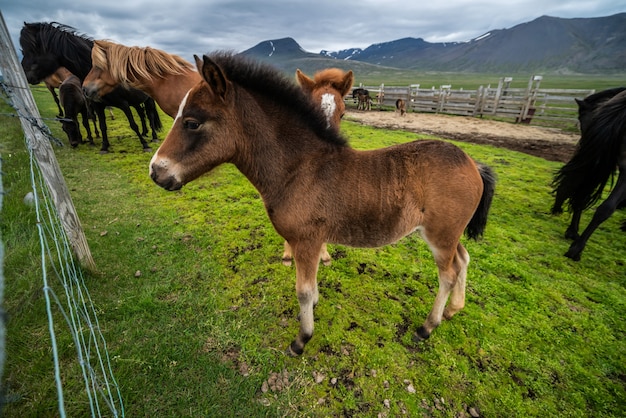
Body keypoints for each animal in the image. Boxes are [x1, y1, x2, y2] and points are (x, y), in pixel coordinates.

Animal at [19, 20, 161, 152]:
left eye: (32, 49)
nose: (24, 75)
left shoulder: (123, 104)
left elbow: (133, 124)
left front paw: (145, 145)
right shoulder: (98, 106)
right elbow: (103, 126)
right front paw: (104, 147)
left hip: (148, 99)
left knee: (150, 115)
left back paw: (153, 137)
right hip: (135, 101)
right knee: (142, 114)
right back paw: (145, 132)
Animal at [149, 50, 494, 354]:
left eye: (192, 122)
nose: (156, 171)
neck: (299, 168)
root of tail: (472, 163)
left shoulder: (306, 240)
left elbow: (302, 291)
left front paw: (301, 340)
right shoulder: (309, 242)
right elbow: (311, 285)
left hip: (440, 234)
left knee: (448, 274)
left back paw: (427, 327)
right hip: (449, 233)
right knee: (463, 259)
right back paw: (453, 310)